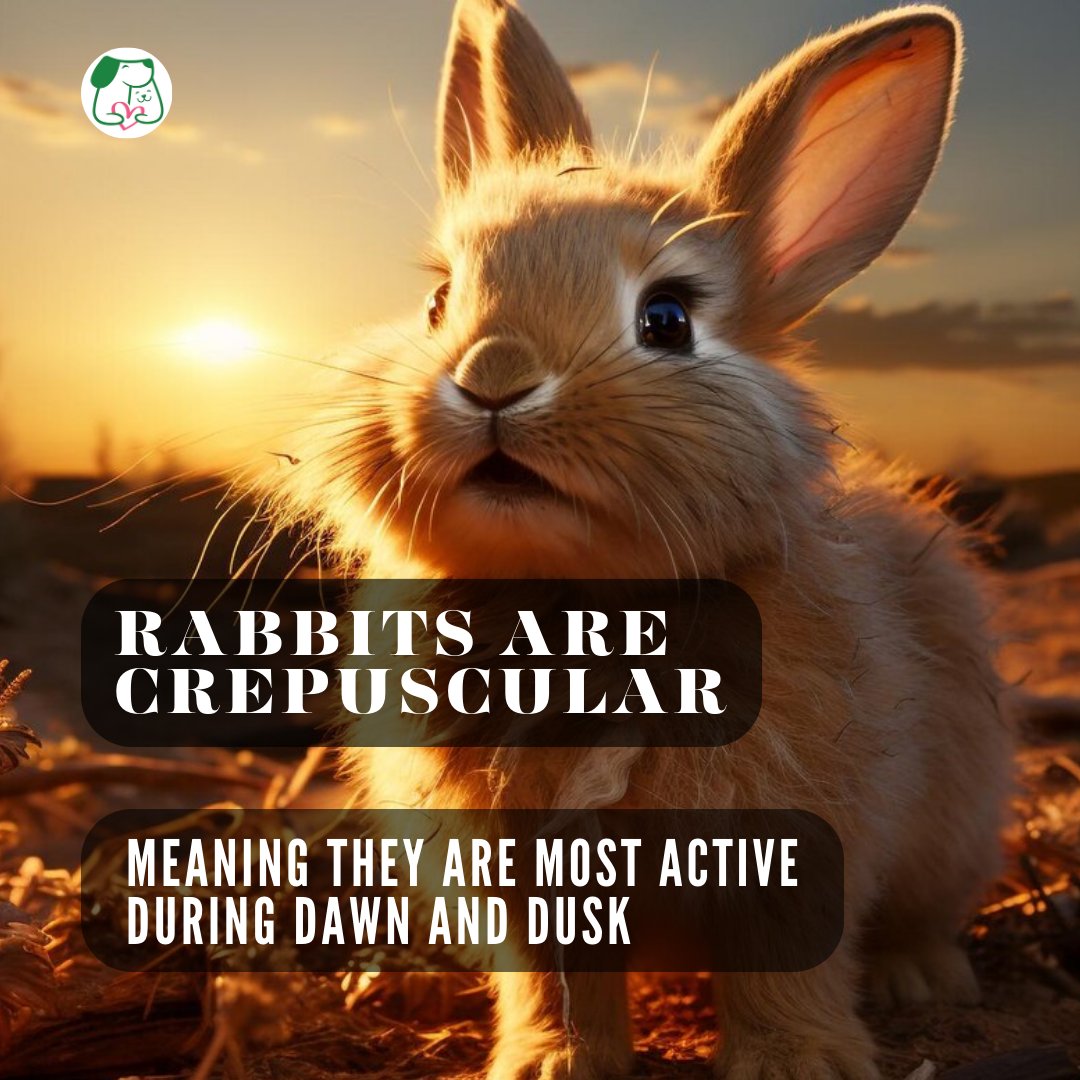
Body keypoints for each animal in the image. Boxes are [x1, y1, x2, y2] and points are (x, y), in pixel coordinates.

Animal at [262, 1, 1011, 1077]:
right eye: (441, 301)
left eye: (665, 319)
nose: (493, 377)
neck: (574, 596)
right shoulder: (527, 879)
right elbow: (555, 985)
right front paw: (549, 1063)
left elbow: (788, 968)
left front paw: (798, 1064)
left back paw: (920, 978)